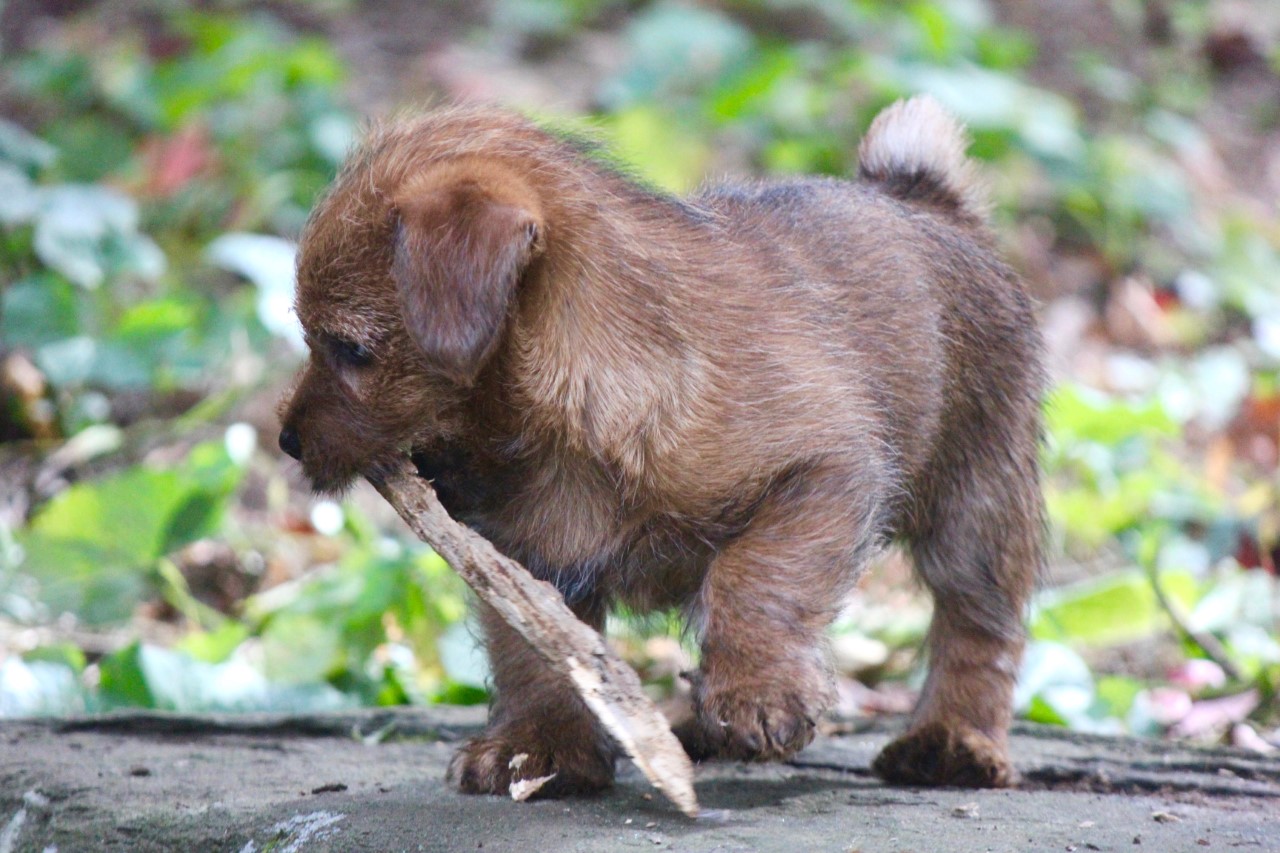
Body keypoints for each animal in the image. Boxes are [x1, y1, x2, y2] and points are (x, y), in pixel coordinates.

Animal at [277, 96, 1039, 794]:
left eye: (350, 349)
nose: (285, 440)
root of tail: (922, 196)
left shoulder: (822, 473)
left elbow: (756, 578)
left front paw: (760, 691)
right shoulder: (521, 558)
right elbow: (537, 650)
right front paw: (538, 745)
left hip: (977, 503)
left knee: (978, 626)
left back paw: (953, 740)